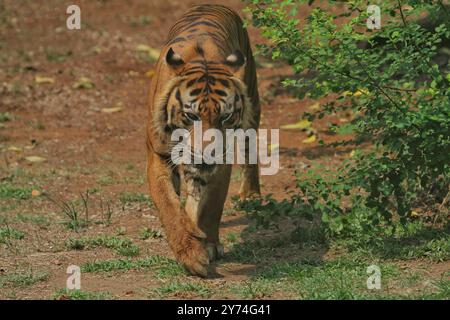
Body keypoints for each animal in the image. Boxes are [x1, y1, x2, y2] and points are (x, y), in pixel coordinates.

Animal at [148, 3, 260, 276]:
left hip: (252, 105)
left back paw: (250, 195)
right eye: (191, 115)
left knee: (250, 151)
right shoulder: (158, 156)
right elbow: (169, 207)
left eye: (225, 116)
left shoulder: (222, 161)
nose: (207, 153)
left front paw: (207, 245)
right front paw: (190, 252)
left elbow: (212, 205)